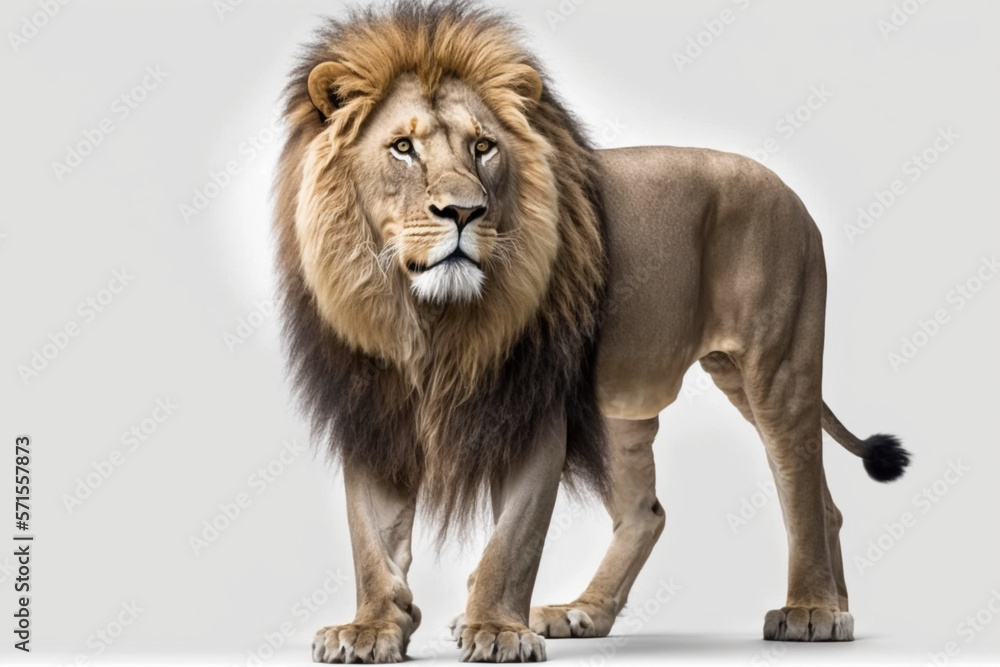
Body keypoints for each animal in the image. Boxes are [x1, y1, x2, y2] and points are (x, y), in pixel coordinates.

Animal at [273, 1, 911, 663]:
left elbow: (514, 539)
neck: (427, 318)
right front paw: (370, 628)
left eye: (483, 147)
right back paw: (582, 612)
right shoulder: (371, 408)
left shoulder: (534, 409)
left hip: (776, 366)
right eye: (402, 147)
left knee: (804, 489)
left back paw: (813, 610)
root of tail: (789, 192)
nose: (465, 211)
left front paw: (497, 630)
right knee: (654, 512)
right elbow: (370, 539)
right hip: (627, 405)